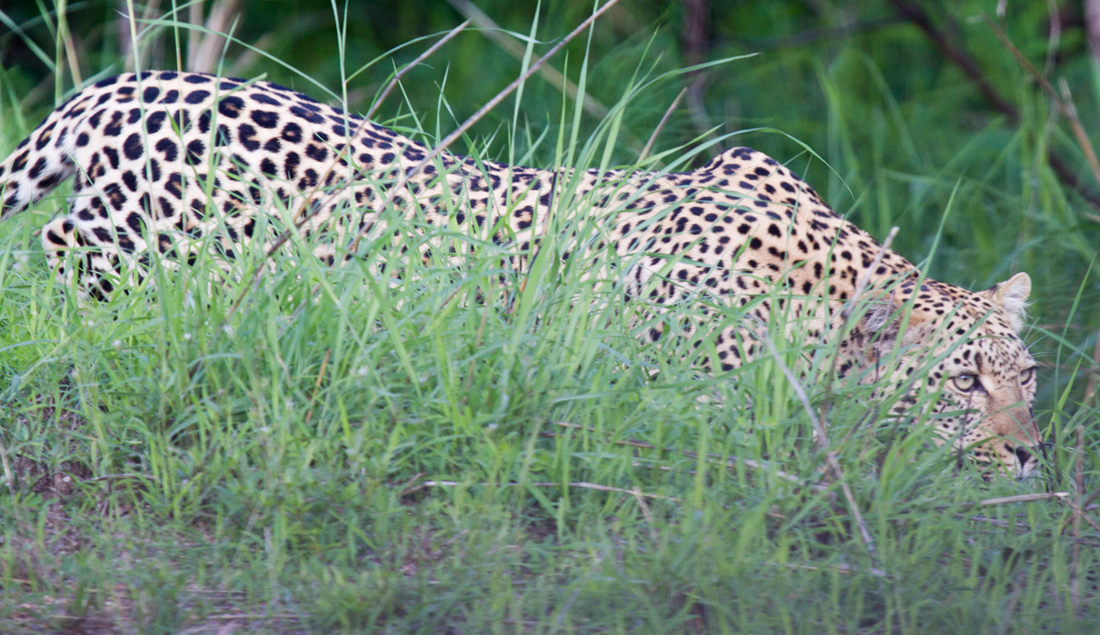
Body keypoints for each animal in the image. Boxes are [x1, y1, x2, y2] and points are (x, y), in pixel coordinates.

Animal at [0, 69, 1042, 475]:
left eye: (1028, 376)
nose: (1032, 451)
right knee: (54, 258)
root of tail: (129, 81)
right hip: (144, 241)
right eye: (963, 379)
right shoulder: (679, 388)